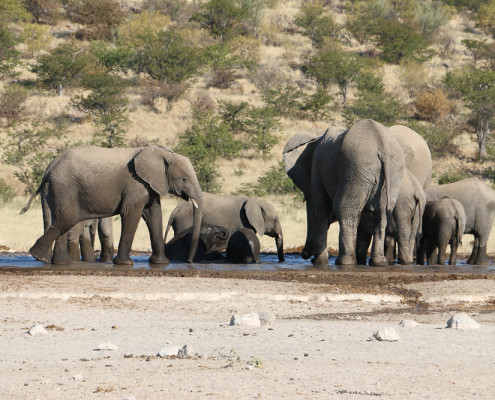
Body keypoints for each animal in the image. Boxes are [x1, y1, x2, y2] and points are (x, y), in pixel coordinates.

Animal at [21, 145, 203, 266]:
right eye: (184, 179)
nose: (189, 261)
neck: (163, 153)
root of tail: (49, 168)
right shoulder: (135, 184)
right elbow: (131, 213)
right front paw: (125, 263)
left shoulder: (149, 186)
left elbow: (154, 214)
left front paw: (161, 263)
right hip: (65, 188)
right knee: (67, 219)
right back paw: (38, 256)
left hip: (53, 190)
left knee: (58, 220)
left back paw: (60, 262)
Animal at [284, 119, 404, 268]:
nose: (305, 255)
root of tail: (382, 146)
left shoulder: (317, 169)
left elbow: (320, 209)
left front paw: (319, 263)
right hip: (392, 172)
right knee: (381, 215)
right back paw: (379, 263)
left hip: (356, 168)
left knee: (346, 210)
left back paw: (344, 262)